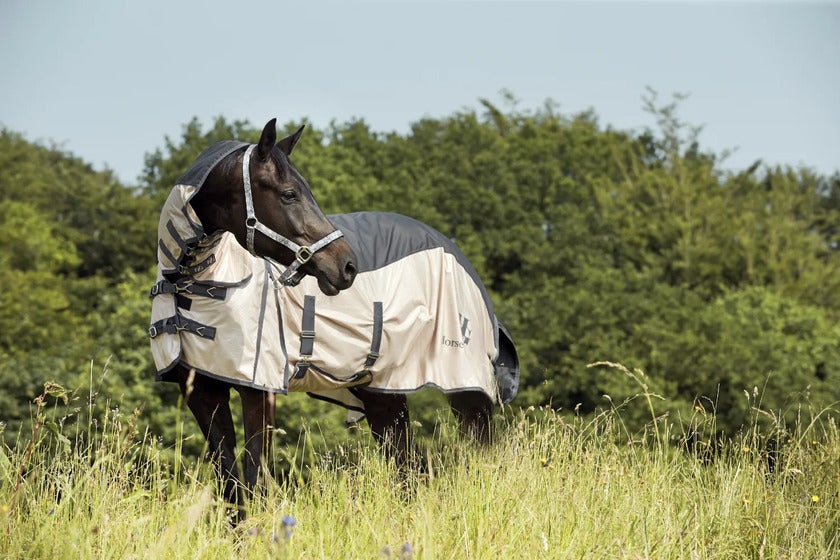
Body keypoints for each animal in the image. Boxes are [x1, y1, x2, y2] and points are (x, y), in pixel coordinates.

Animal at [151, 118, 520, 520]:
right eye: (289, 194)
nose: (347, 266)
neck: (200, 284)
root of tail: (455, 252)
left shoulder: (259, 389)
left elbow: (254, 478)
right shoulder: (203, 393)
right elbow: (231, 484)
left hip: (466, 389)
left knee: (479, 458)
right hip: (384, 393)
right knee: (407, 470)